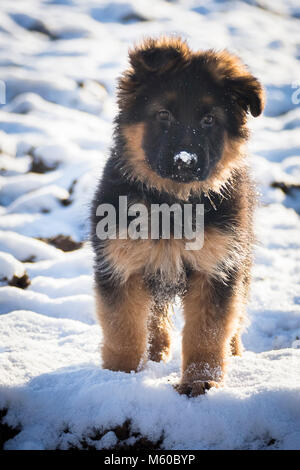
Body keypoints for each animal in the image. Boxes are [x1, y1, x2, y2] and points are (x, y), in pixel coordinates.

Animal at [90, 37, 264, 396]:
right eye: (164, 115)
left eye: (209, 120)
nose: (185, 161)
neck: (172, 203)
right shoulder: (121, 265)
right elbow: (124, 329)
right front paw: (118, 379)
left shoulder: (217, 268)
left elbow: (207, 334)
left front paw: (201, 383)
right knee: (153, 317)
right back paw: (156, 351)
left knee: (236, 314)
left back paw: (234, 351)